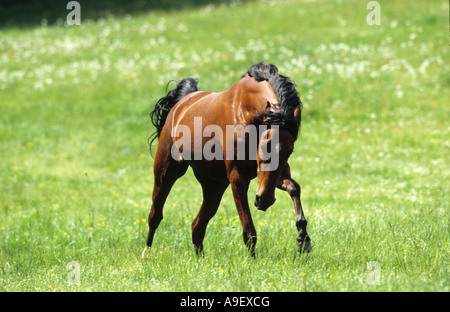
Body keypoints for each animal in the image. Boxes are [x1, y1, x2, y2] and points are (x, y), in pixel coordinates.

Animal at [142, 62, 312, 258]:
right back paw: (146, 253)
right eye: (264, 146)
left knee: (197, 226)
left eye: (289, 151)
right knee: (155, 215)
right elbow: (249, 230)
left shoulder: (270, 176)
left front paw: (303, 239)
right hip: (166, 173)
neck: (246, 113)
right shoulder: (238, 178)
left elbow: (294, 188)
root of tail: (181, 104)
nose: (265, 201)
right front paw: (253, 262)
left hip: (214, 186)